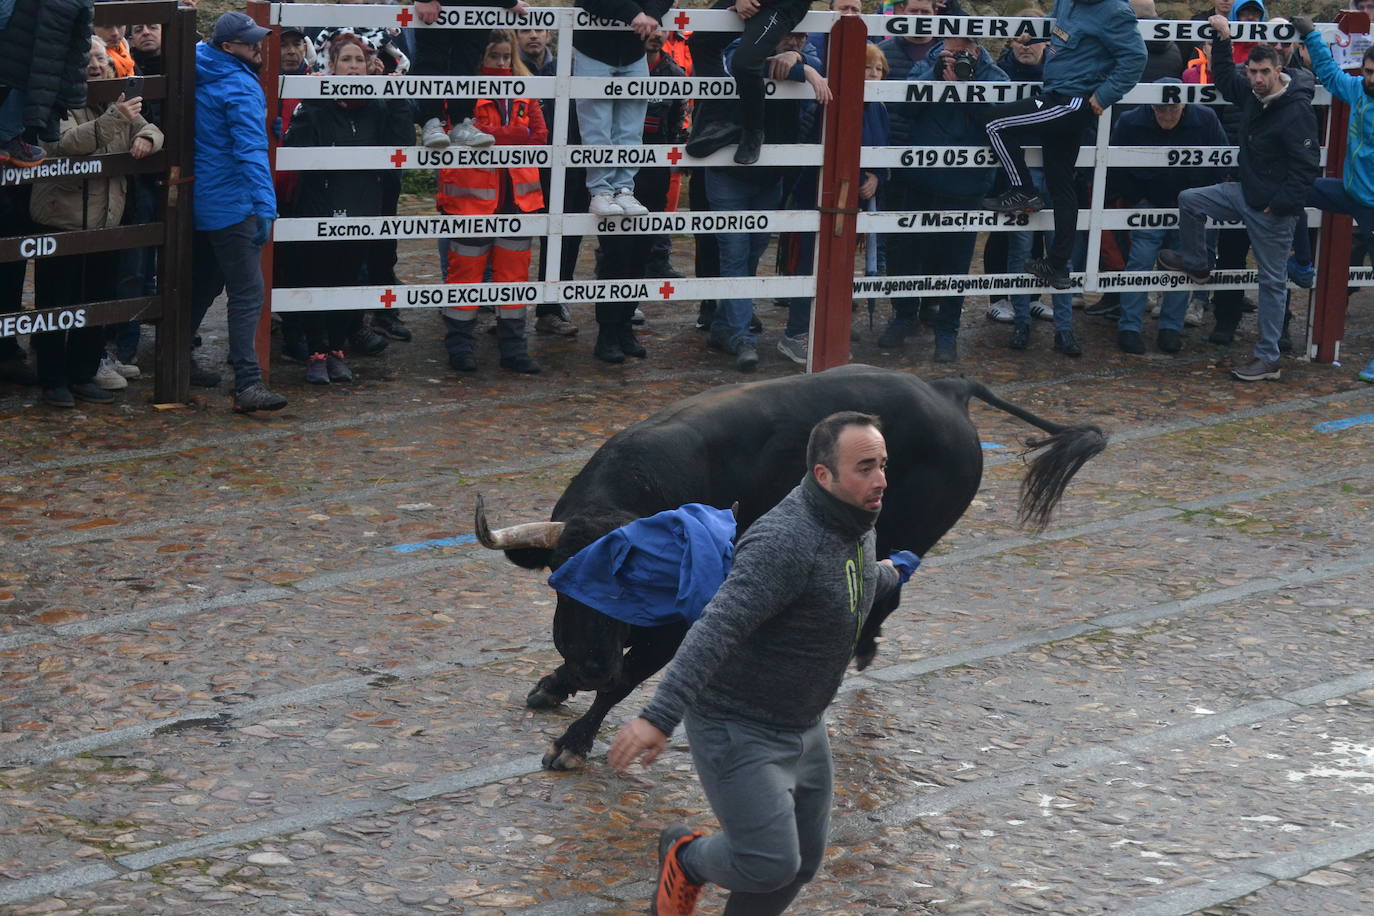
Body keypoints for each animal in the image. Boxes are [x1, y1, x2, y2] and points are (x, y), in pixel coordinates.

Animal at [472, 368, 1104, 769]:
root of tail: (946, 388)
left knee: (887, 590)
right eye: (563, 580)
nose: (590, 664)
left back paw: (860, 648)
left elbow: (631, 677)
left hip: (913, 530)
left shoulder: (683, 623)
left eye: (637, 580)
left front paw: (573, 741)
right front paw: (555, 684)